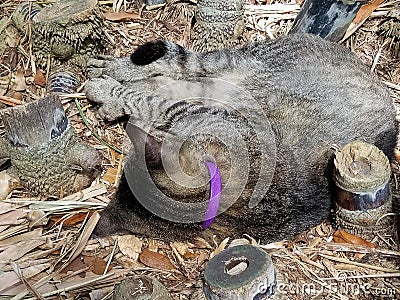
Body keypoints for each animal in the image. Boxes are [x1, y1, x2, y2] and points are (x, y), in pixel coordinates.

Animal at [84, 33, 396, 244]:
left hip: (220, 76)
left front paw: (114, 94)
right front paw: (114, 90)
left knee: (173, 77)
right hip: (229, 64)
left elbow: (148, 101)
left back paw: (112, 86)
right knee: (177, 68)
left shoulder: (193, 113)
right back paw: (115, 70)